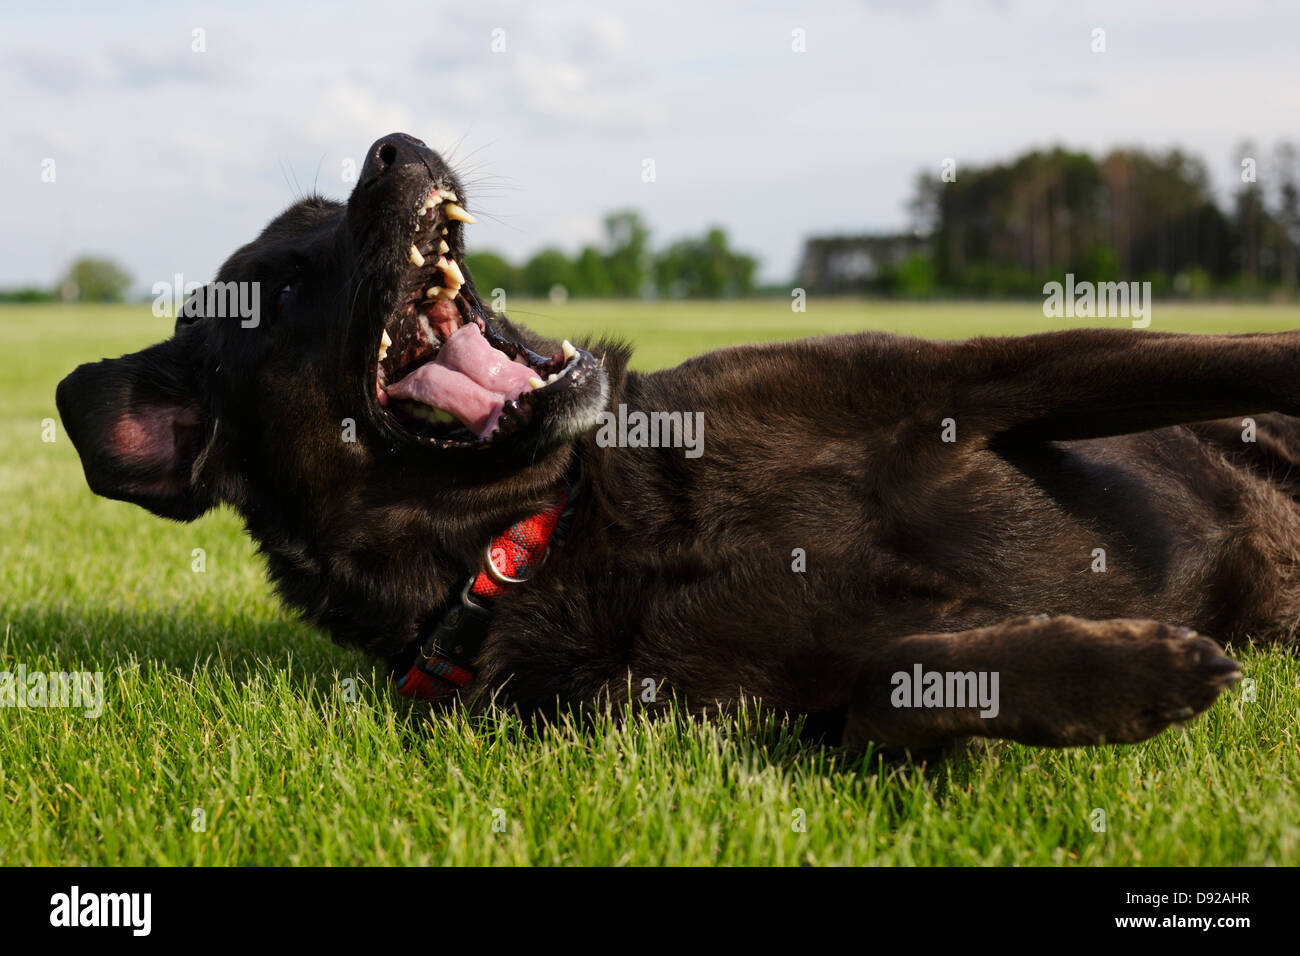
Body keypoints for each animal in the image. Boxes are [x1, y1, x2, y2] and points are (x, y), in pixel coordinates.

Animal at [58, 128, 1289, 754]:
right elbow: (892, 679)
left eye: (331, 208)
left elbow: (1234, 352)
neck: (569, 514)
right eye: (274, 288)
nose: (393, 147)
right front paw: (1126, 675)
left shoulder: (973, 377)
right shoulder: (792, 695)